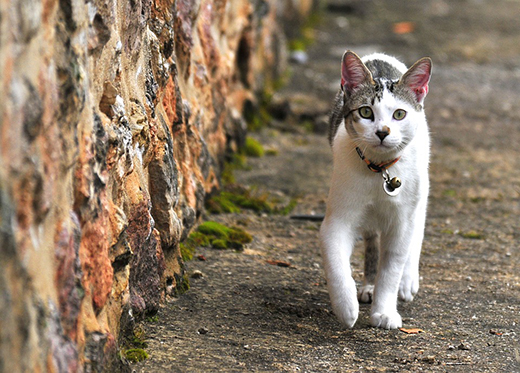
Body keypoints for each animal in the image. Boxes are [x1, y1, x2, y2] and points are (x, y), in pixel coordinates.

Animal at [318, 50, 432, 328]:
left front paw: (385, 311)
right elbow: (336, 262)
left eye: (399, 114)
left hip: (420, 188)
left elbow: (391, 269)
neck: (379, 170)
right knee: (371, 238)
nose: (382, 132)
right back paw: (368, 285)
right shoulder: (338, 219)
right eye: (366, 112)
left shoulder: (401, 223)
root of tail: (380, 56)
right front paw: (346, 307)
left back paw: (408, 281)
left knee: (417, 228)